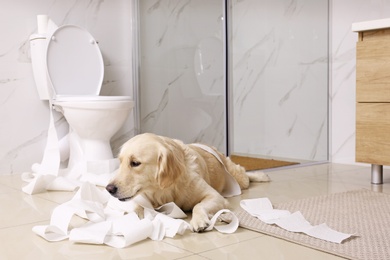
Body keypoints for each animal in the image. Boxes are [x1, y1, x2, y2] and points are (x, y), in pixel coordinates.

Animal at [106, 133, 272, 233]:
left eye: (135, 163)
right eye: (120, 162)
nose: (109, 189)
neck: (166, 189)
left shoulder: (215, 196)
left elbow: (198, 206)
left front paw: (199, 221)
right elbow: (137, 207)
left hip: (238, 178)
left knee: (245, 173)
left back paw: (262, 175)